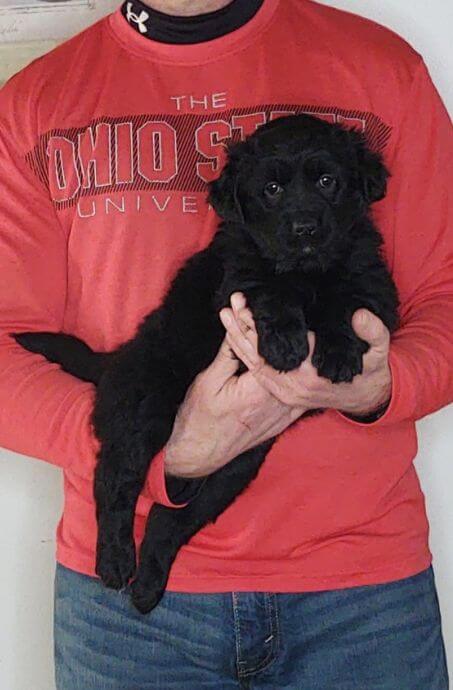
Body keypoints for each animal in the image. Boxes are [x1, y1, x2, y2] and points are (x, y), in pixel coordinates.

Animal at [14, 115, 398, 612]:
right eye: (271, 188)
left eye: (328, 181)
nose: (304, 229)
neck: (306, 271)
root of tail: (117, 359)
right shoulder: (236, 278)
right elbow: (268, 285)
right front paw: (285, 341)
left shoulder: (374, 283)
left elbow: (346, 298)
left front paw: (338, 352)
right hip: (146, 407)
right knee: (114, 477)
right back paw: (115, 562)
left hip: (235, 468)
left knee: (169, 517)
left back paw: (147, 586)